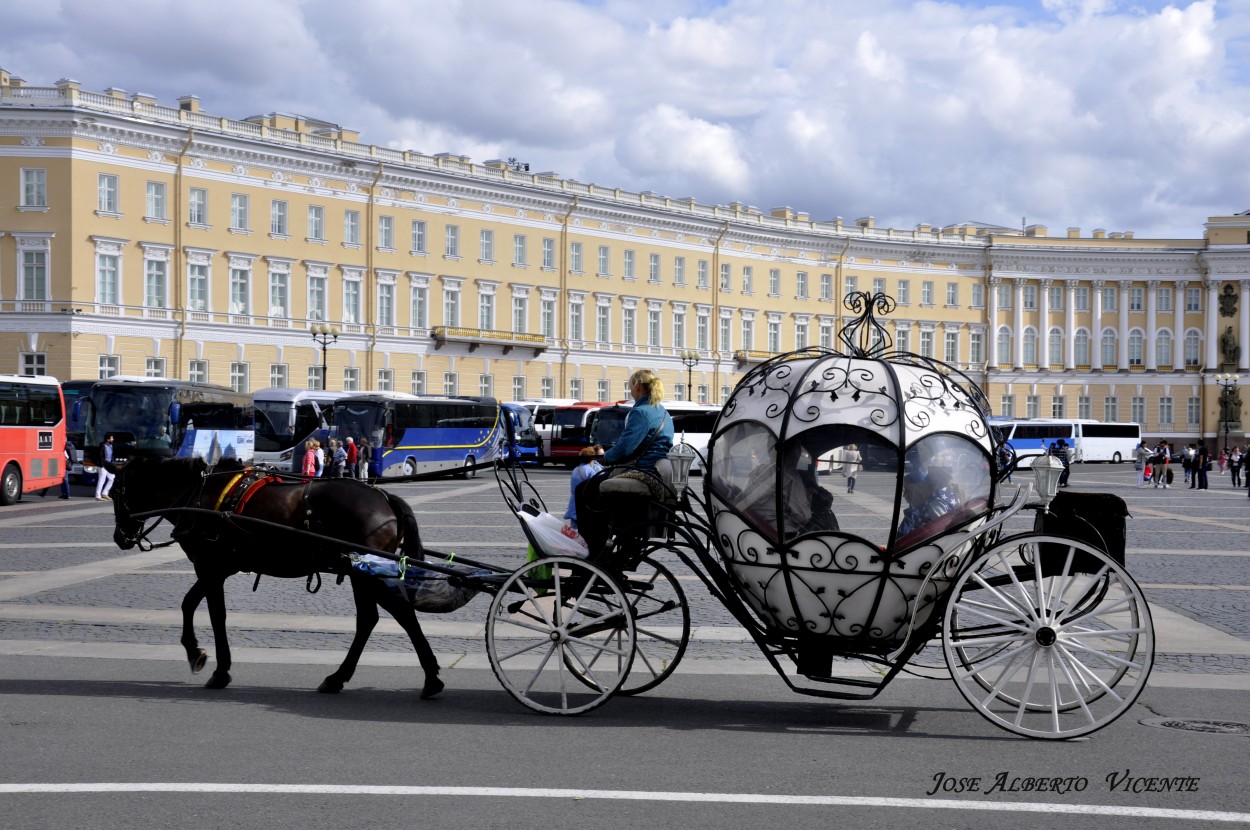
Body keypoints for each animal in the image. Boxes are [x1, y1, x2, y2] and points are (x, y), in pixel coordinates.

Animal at [111, 457, 445, 695]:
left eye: (114, 493)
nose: (119, 538)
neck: (197, 495)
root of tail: (384, 496)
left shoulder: (209, 567)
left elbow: (206, 611)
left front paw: (208, 662)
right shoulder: (218, 569)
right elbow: (199, 607)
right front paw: (206, 659)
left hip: (366, 575)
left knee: (395, 614)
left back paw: (426, 677)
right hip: (361, 572)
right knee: (375, 619)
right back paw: (346, 678)